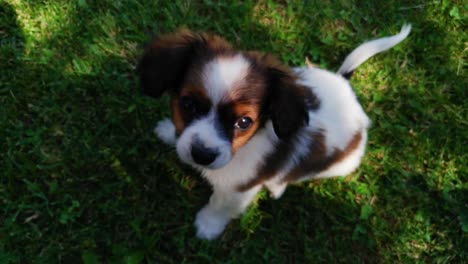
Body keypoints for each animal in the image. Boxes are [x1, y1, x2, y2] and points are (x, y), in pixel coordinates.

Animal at [137, 24, 412, 239]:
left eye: (244, 122)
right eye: (189, 104)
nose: (202, 155)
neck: (245, 147)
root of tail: (346, 87)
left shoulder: (240, 187)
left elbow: (221, 205)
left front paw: (208, 225)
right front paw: (168, 131)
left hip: (343, 164)